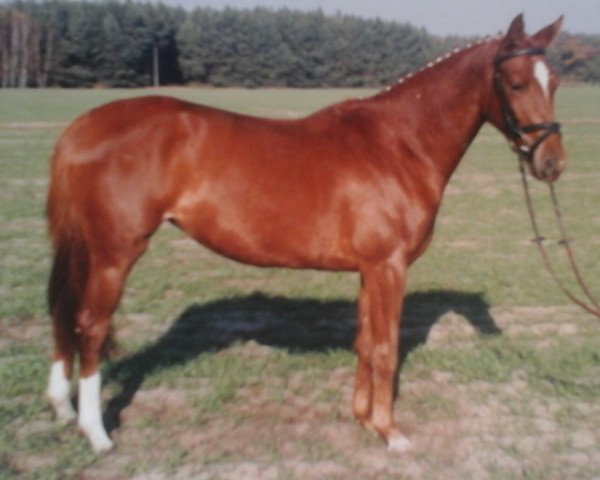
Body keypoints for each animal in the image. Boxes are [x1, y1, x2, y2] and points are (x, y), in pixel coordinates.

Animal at [45, 14, 564, 450]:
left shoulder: (368, 270)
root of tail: (83, 126)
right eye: (515, 82)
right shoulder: (389, 267)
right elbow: (385, 349)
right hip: (114, 254)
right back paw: (96, 433)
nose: (551, 163)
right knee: (90, 325)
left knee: (63, 315)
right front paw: (391, 432)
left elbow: (363, 342)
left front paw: (363, 418)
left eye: (554, 82)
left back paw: (62, 407)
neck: (400, 143)